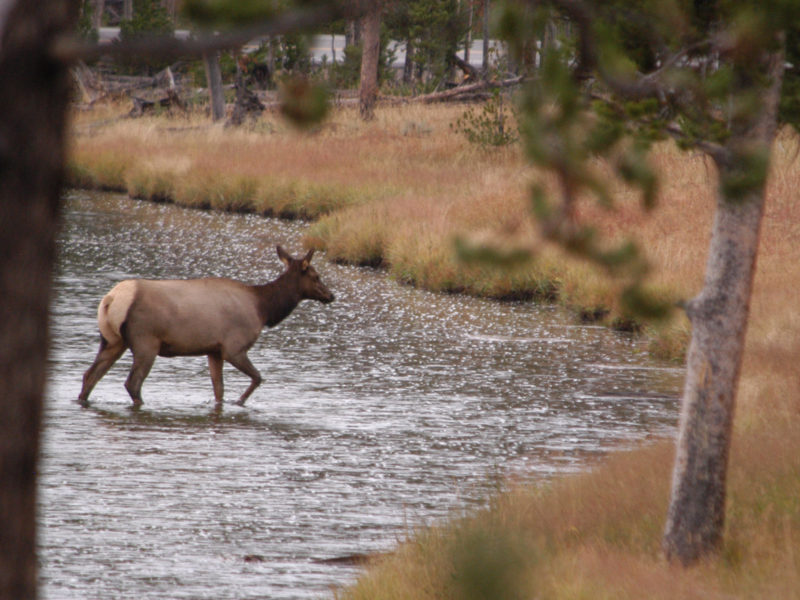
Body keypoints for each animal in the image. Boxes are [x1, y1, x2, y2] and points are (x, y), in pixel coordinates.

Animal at [77, 245, 334, 408]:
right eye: (316, 276)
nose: (331, 295)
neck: (264, 310)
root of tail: (111, 300)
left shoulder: (213, 350)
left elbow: (219, 389)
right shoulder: (233, 347)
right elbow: (258, 378)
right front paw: (239, 403)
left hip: (112, 340)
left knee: (90, 375)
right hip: (145, 341)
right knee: (133, 383)